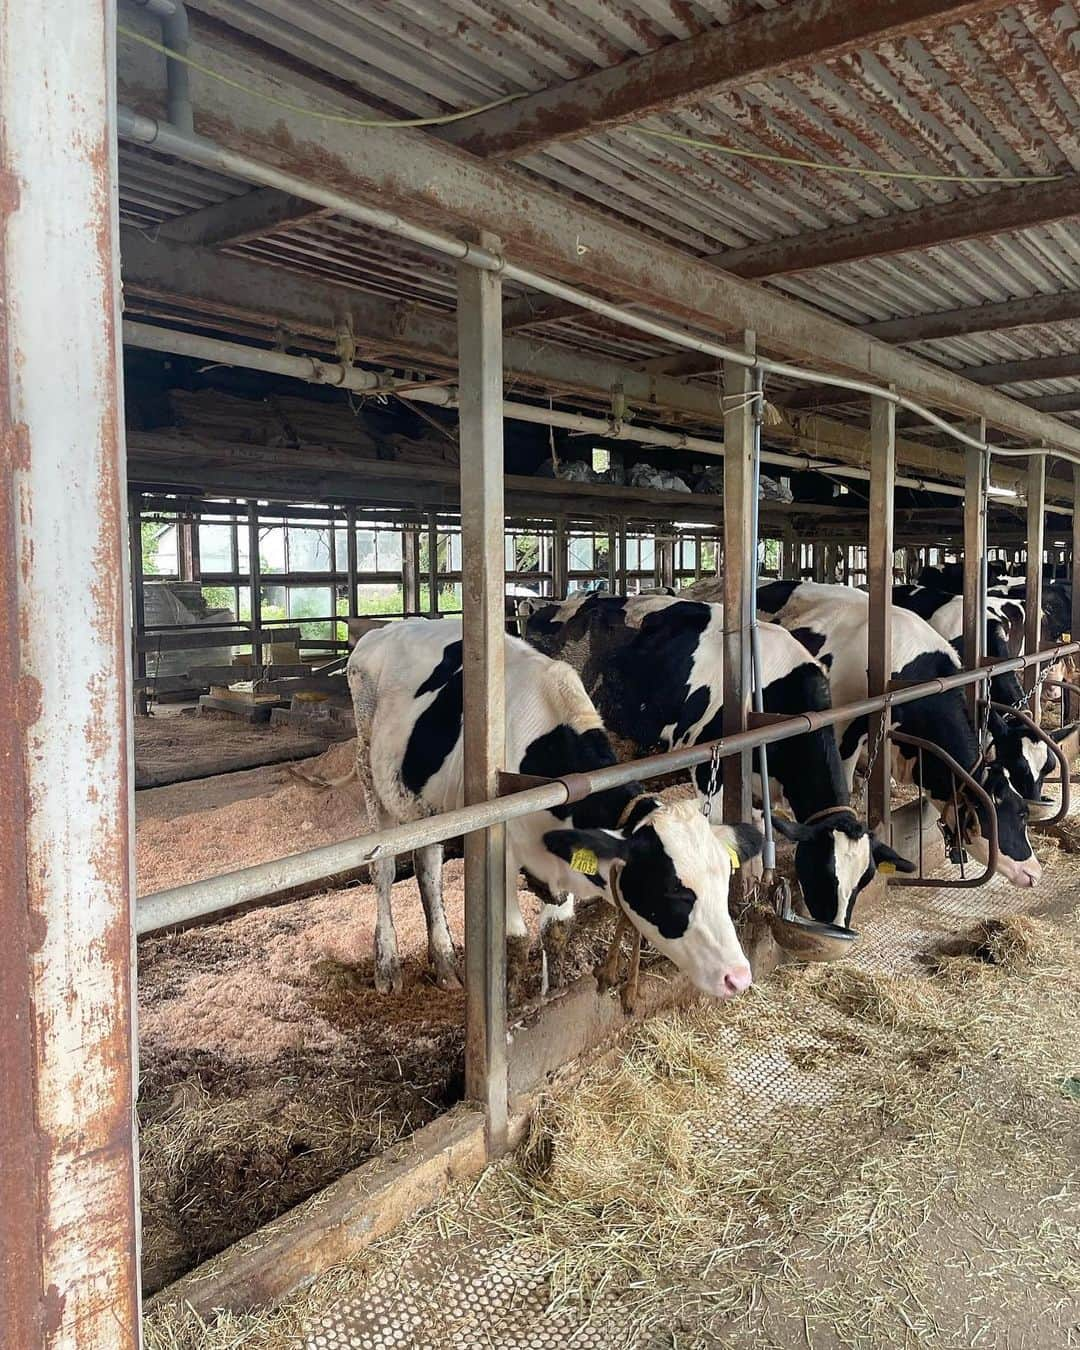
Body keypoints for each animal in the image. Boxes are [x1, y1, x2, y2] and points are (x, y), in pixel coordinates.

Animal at [344, 618, 761, 999]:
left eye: (725, 879)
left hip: (427, 805)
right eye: (673, 889)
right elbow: (515, 937)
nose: (738, 976)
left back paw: (445, 964)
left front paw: (555, 992)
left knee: (428, 865)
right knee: (383, 870)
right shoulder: (501, 855)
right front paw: (512, 1001)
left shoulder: (570, 848)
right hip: (370, 775)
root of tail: (384, 630)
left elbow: (557, 929)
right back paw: (387, 966)